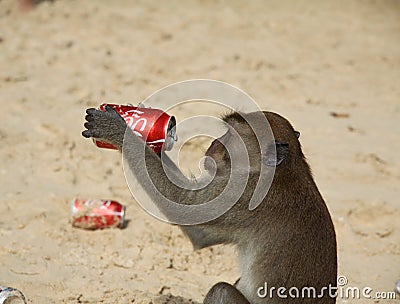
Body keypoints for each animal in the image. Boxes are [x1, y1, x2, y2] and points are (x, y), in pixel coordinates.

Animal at [83, 105, 336, 302]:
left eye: (231, 136)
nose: (214, 144)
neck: (286, 169)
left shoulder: (243, 196)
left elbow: (183, 205)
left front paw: (117, 130)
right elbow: (200, 235)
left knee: (221, 291)